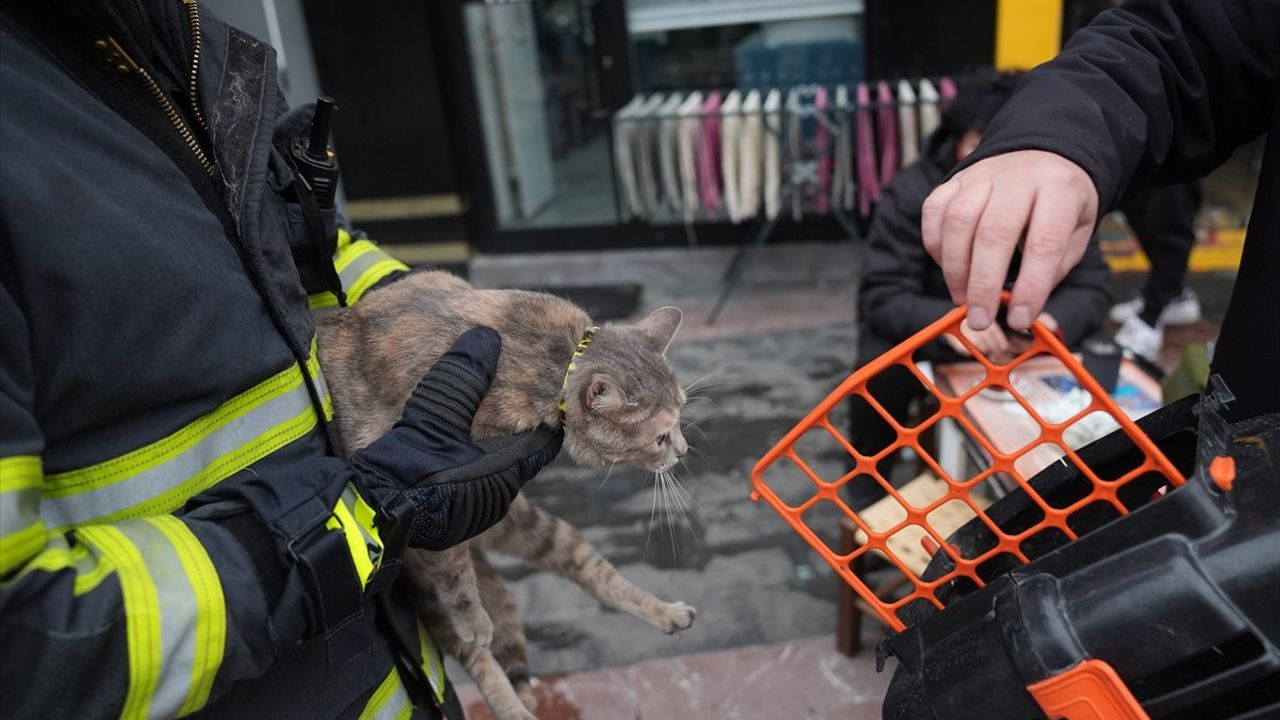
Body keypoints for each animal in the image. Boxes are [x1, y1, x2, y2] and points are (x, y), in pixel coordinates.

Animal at [320, 270, 701, 717]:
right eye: (660, 438)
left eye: (682, 411)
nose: (683, 451)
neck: (560, 356)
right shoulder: (438, 499)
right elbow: (454, 573)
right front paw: (473, 618)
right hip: (429, 577)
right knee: (477, 654)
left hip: (528, 524)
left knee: (596, 575)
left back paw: (665, 613)